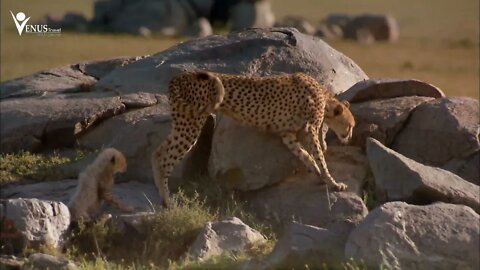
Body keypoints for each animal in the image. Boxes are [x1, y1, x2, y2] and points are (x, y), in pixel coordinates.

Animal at [152, 70, 354, 208]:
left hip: (183, 121)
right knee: (165, 159)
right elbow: (319, 155)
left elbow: (304, 153)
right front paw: (333, 182)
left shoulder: (287, 134)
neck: (325, 98)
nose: (349, 137)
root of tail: (181, 75)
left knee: (158, 153)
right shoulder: (310, 129)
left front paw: (317, 172)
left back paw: (162, 196)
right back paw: (168, 201)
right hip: (191, 123)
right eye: (351, 126)